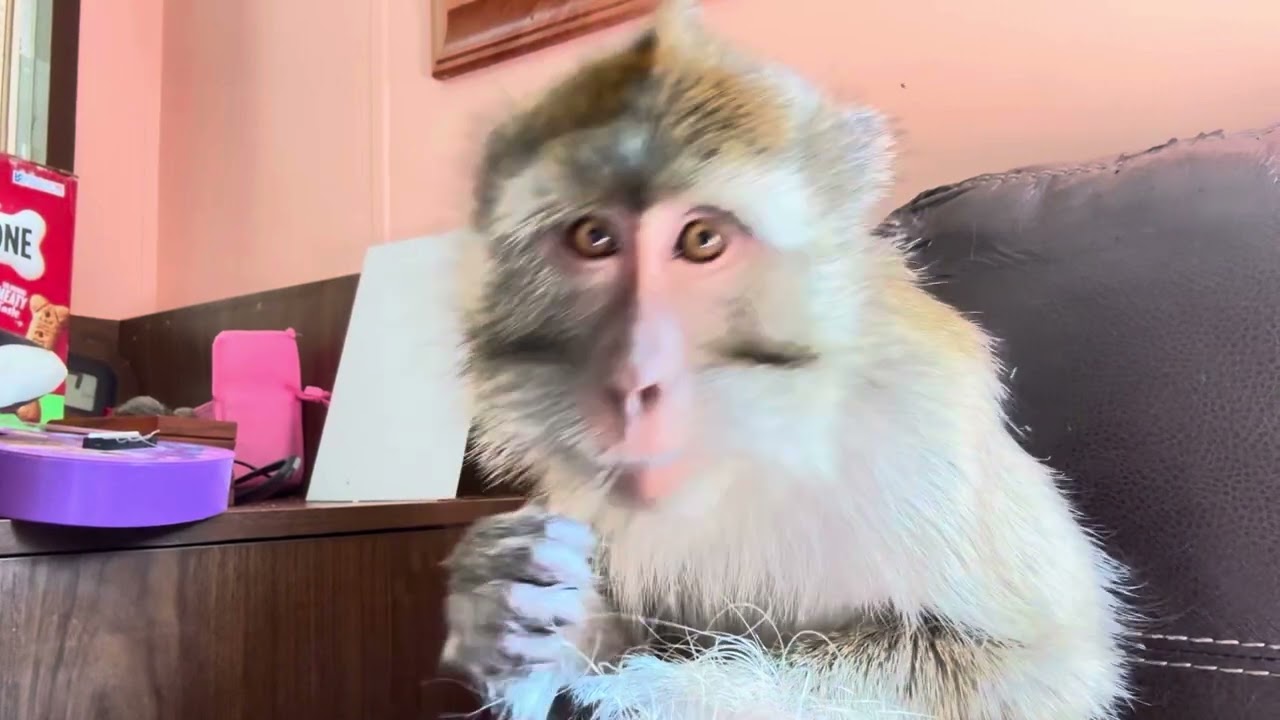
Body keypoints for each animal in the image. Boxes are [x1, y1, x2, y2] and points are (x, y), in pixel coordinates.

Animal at [438, 1, 1134, 718]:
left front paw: (662, 692)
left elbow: (1033, 668)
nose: (633, 377)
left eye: (702, 240)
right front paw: (506, 602)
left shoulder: (925, 437)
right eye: (594, 237)